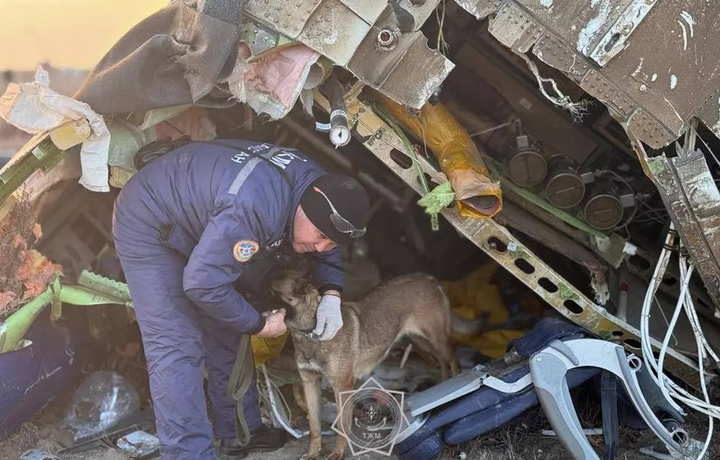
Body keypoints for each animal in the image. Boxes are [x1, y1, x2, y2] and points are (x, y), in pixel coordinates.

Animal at [266, 272, 462, 458]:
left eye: (269, 292)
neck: (311, 332)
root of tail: (427, 278)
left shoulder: (342, 386)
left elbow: (342, 425)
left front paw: (337, 454)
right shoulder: (310, 382)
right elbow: (314, 426)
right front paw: (313, 453)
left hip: (436, 339)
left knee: (453, 357)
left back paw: (457, 382)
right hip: (421, 341)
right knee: (442, 361)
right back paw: (444, 383)